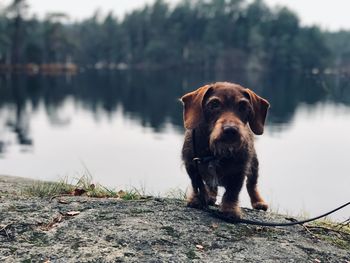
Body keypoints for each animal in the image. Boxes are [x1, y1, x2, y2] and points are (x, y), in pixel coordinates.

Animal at [182, 82, 270, 219]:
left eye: (243, 106)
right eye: (214, 104)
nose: (230, 130)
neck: (214, 152)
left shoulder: (239, 171)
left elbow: (232, 193)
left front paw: (230, 210)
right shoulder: (191, 165)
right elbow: (197, 183)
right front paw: (198, 199)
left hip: (254, 165)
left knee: (252, 184)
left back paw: (258, 202)